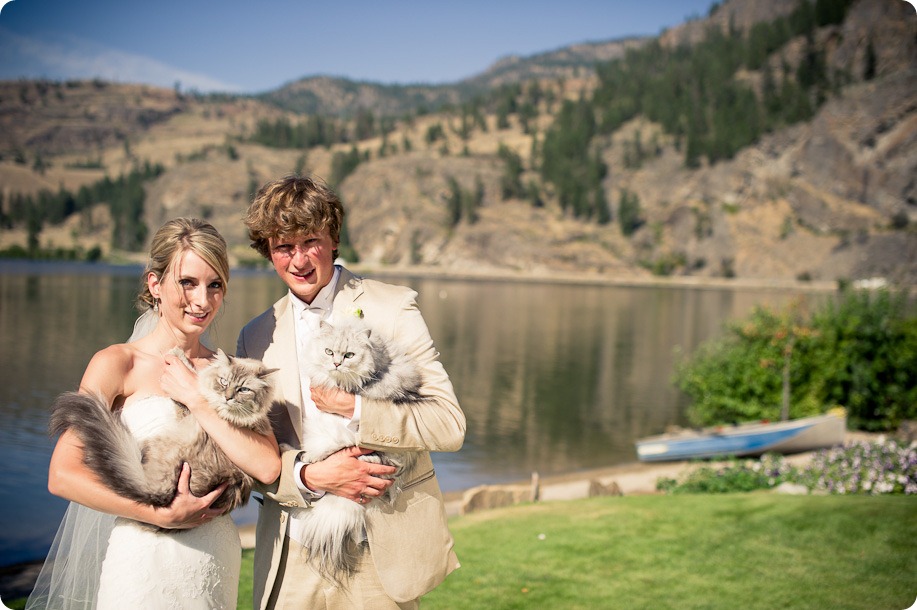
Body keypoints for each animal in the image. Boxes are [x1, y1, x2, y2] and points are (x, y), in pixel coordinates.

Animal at [49, 346, 276, 528]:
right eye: (223, 382)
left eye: (243, 389)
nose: (227, 398)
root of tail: (159, 492)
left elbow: (189, 381)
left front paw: (177, 354)